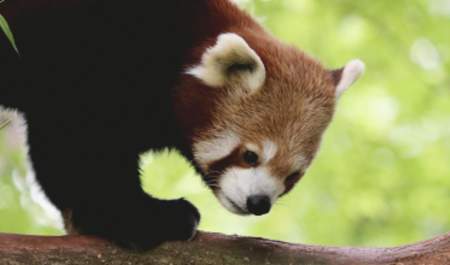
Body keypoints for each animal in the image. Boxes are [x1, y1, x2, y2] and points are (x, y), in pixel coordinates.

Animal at [0, 0, 364, 248]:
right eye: (250, 156)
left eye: (292, 176)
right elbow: (78, 149)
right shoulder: (89, 60)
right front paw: (141, 218)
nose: (259, 203)